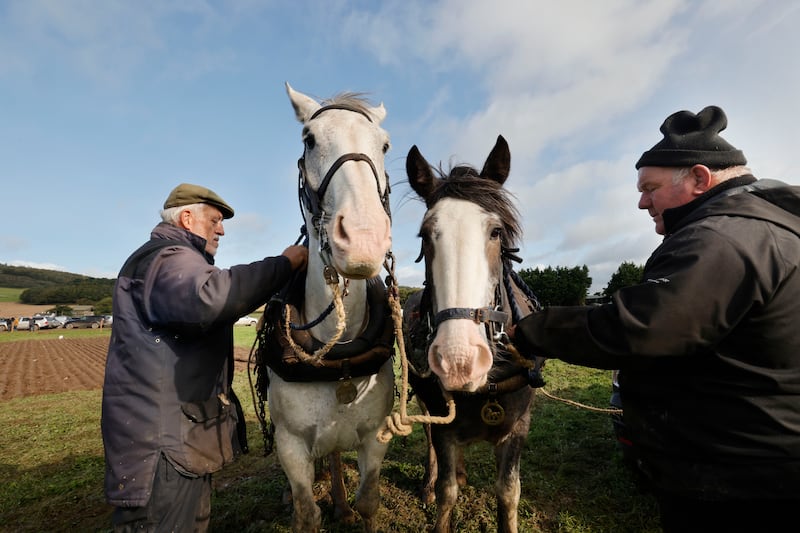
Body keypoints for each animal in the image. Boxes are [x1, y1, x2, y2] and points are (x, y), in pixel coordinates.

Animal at [266, 83, 394, 532]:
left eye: (384, 145)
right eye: (309, 140)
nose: (363, 238)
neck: (336, 351)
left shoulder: (374, 438)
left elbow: (369, 502)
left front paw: (350, 506)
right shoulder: (289, 445)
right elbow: (307, 513)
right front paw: (304, 504)